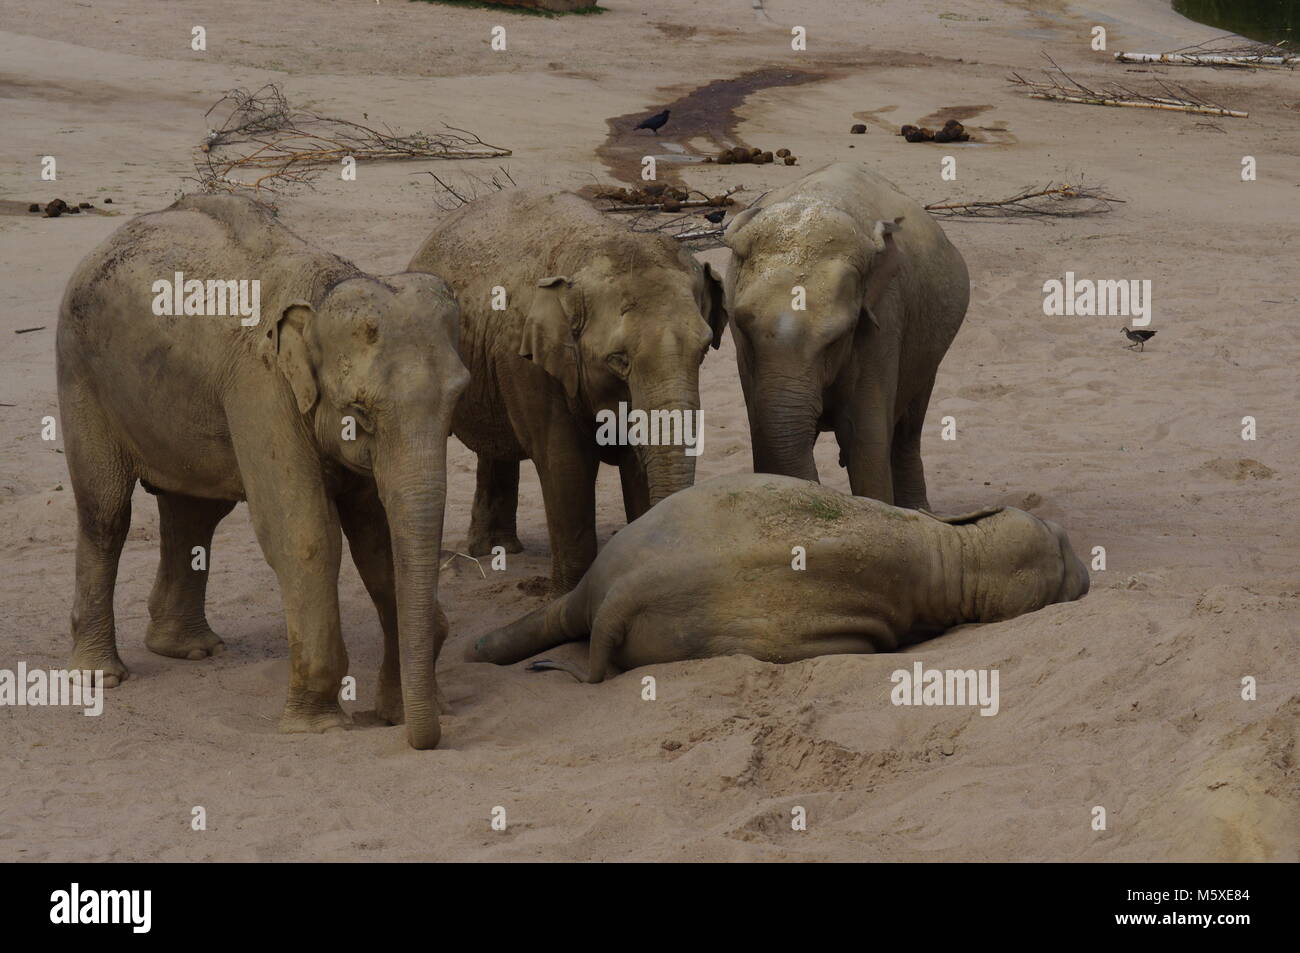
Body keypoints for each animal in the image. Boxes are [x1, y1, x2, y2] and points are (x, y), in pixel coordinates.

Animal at [58, 193, 473, 748]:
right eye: (360, 413)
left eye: (457, 401)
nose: (426, 735)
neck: (325, 290)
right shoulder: (261, 386)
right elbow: (305, 535)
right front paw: (319, 726)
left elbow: (378, 537)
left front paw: (397, 712)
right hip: (79, 371)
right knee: (105, 512)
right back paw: (99, 677)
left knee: (195, 513)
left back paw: (189, 649)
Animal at [410, 187, 728, 590]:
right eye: (617, 359)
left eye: (703, 349)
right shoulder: (526, 363)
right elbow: (564, 464)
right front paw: (568, 596)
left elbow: (636, 462)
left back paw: (498, 549)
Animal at [467, 473, 1086, 681]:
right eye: (1062, 541)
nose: (1087, 574)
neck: (957, 549)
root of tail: (622, 594)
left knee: (567, 613)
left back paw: (478, 653)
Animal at [717, 160, 972, 509]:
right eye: (743, 325)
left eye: (838, 337)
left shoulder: (884, 319)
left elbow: (864, 440)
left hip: (929, 346)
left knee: (909, 426)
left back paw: (919, 511)